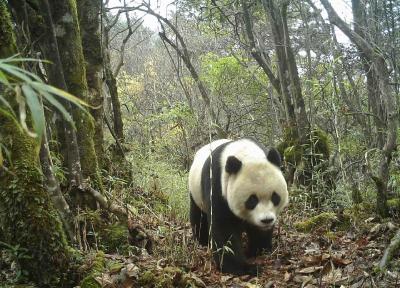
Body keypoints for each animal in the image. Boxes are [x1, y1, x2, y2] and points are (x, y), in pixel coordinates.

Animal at [188, 138, 288, 276]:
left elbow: (258, 232)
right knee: (198, 216)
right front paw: (244, 267)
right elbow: (224, 228)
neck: (246, 154)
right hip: (195, 191)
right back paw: (202, 241)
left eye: (275, 197)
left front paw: (258, 250)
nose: (267, 220)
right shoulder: (217, 186)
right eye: (252, 200)